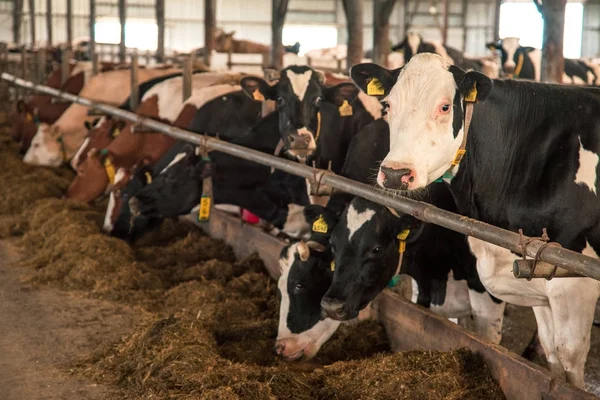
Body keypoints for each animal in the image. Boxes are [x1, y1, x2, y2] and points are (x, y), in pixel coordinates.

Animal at [350, 53, 600, 388]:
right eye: (388, 105)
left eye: (445, 107)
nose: (394, 173)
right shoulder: (538, 281)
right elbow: (552, 356)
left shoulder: (573, 282)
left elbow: (569, 360)